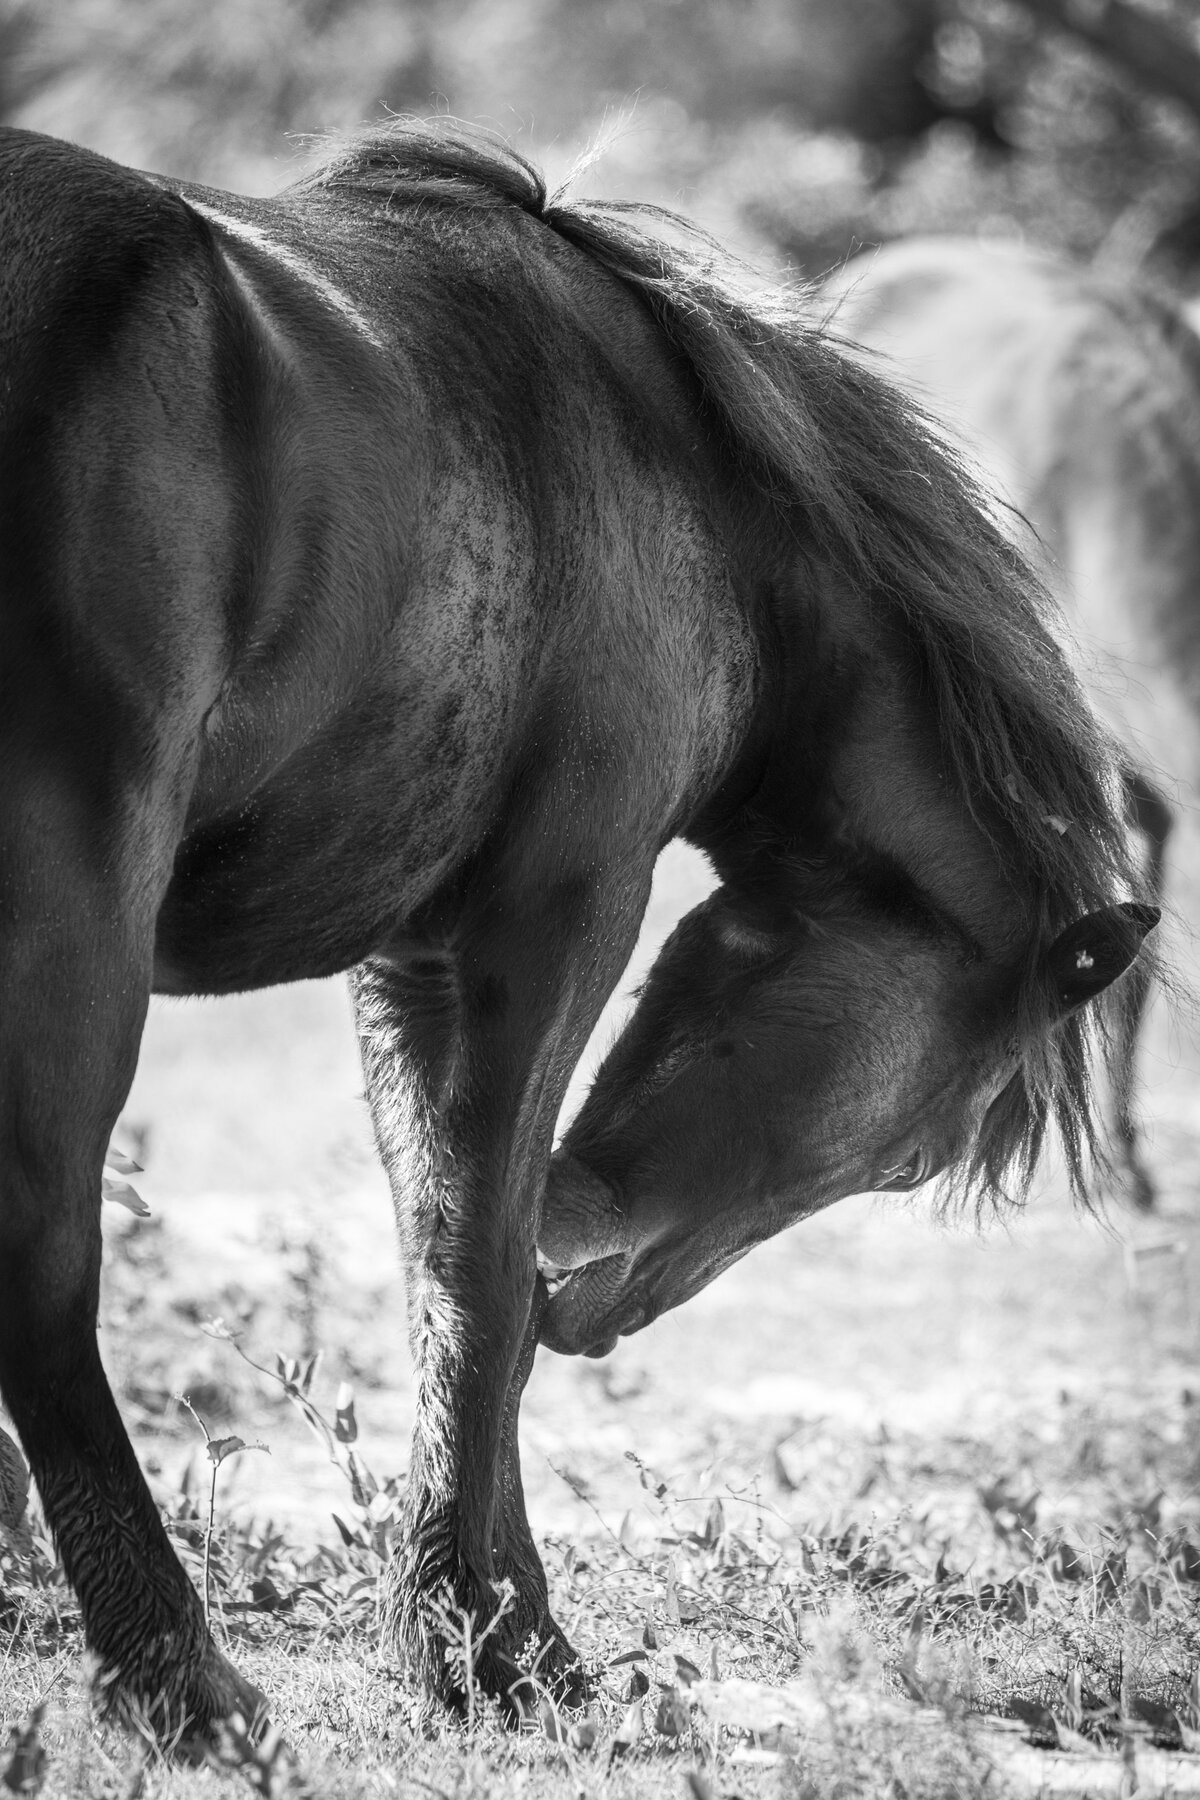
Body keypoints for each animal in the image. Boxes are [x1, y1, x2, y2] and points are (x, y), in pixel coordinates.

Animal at [0, 122, 1157, 1748]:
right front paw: (496, 1646)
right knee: (43, 1259)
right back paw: (182, 1675)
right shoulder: (556, 909)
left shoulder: (410, 957)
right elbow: (476, 1265)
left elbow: (441, 1259)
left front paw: (484, 1623)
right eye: (908, 1162)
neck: (680, 474)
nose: (600, 1307)